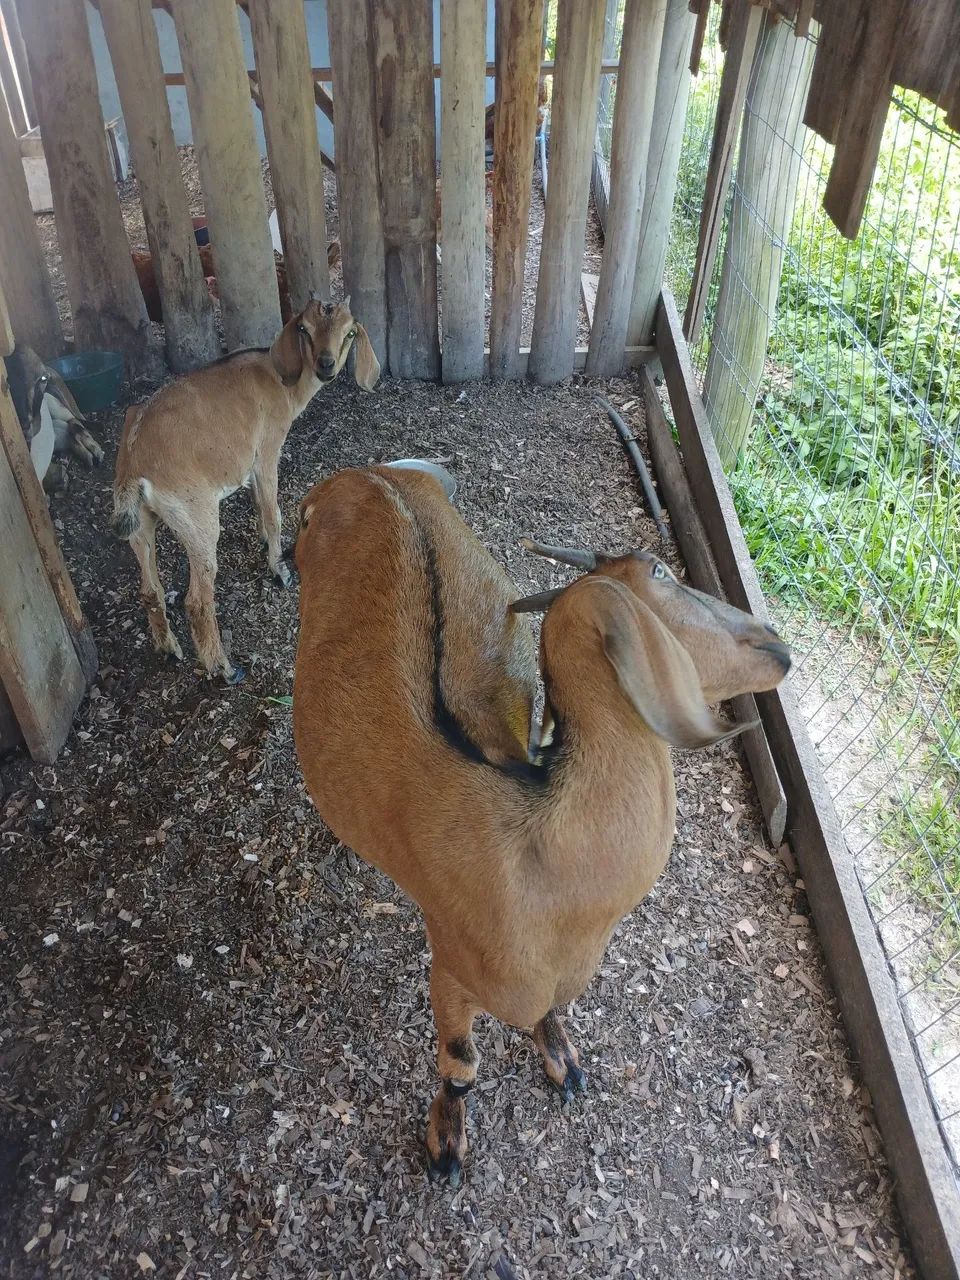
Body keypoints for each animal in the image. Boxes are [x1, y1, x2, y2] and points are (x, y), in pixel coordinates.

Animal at [113, 297, 379, 683]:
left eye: (350, 332)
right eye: (304, 328)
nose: (326, 365)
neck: (281, 381)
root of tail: (135, 462)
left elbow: (257, 504)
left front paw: (264, 546)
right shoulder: (266, 451)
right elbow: (272, 512)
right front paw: (280, 570)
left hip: (140, 521)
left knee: (149, 589)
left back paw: (168, 649)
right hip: (195, 515)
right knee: (197, 600)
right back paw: (224, 669)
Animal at [290, 467, 791, 1184]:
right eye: (661, 569)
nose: (774, 641)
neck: (542, 861)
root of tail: (364, 474)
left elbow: (550, 1016)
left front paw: (561, 1059)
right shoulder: (453, 967)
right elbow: (461, 1062)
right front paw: (446, 1144)